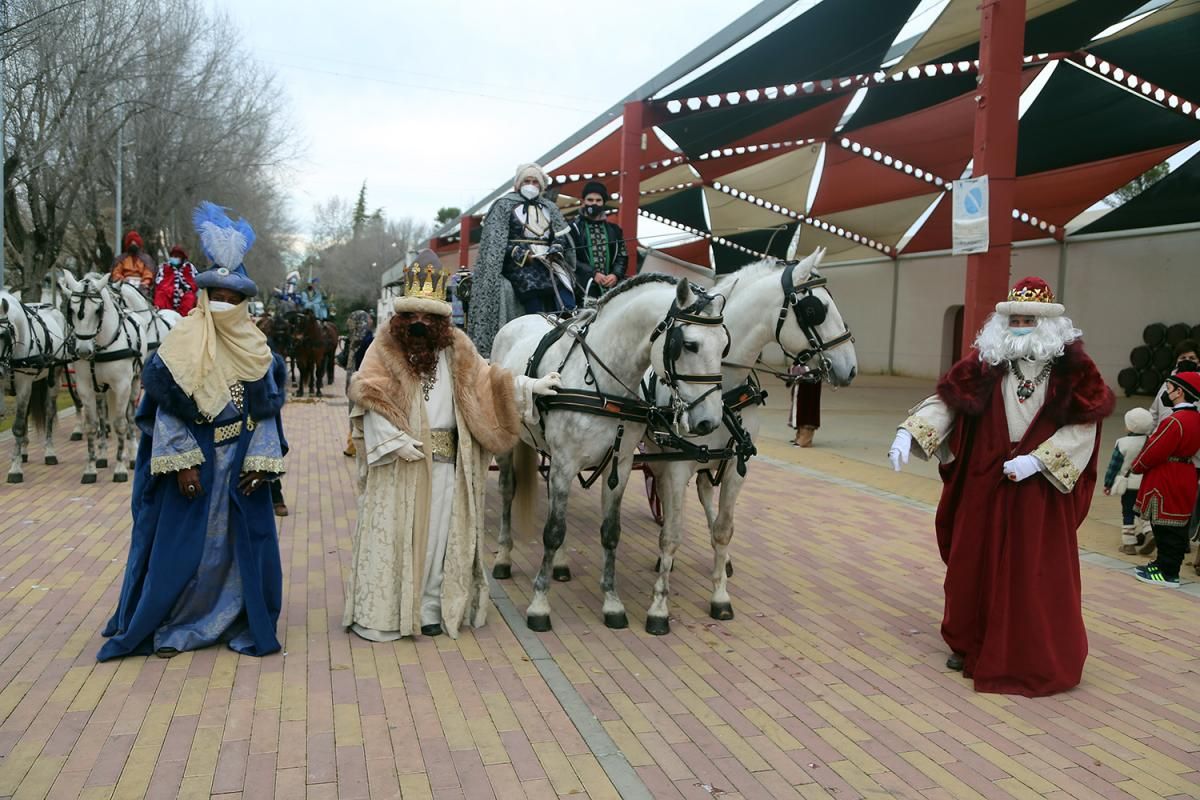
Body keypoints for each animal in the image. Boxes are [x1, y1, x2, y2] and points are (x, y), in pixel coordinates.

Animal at [0, 292, 69, 482]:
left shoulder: (24, 384)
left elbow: (17, 426)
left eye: (3, 335)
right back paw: (23, 452)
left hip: (54, 378)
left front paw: (15, 470)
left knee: (49, 412)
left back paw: (49, 453)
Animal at [59, 272, 147, 482]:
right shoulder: (84, 386)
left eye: (98, 310)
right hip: (100, 390)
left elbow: (121, 424)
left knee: (130, 416)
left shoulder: (122, 386)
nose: (83, 351)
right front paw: (90, 468)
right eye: (71, 310)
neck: (100, 347)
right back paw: (102, 455)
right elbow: (92, 425)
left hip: (134, 383)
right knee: (101, 417)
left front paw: (121, 468)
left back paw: (132, 455)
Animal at [489, 278, 729, 633]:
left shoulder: (620, 466)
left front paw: (612, 602)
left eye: (724, 346)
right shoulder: (565, 463)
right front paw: (539, 605)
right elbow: (553, 532)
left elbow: (610, 532)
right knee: (507, 491)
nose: (709, 421)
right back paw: (504, 557)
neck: (604, 386)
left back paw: (560, 565)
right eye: (689, 345)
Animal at [643, 250, 859, 633]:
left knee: (704, 495)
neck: (722, 391)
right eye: (815, 309)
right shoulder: (677, 464)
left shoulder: (735, 465)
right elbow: (672, 533)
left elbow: (724, 529)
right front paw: (658, 608)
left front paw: (720, 596)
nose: (850, 367)